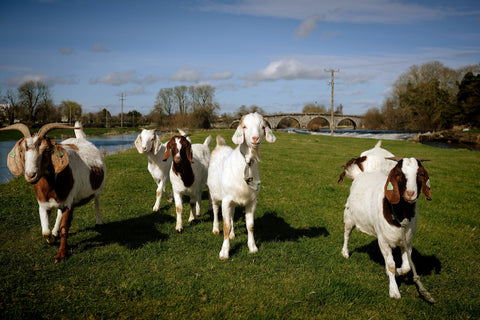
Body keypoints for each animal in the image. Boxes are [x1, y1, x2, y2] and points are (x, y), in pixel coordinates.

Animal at [0, 122, 105, 262]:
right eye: (21, 151)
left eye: (47, 150)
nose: (31, 175)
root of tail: (81, 139)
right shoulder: (43, 205)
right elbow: (45, 231)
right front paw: (51, 238)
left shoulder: (68, 203)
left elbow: (65, 228)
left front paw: (61, 254)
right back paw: (55, 231)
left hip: (98, 188)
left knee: (97, 202)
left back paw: (99, 222)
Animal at [207, 111, 278, 258]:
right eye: (244, 127)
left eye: (262, 127)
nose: (255, 138)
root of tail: (220, 145)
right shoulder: (226, 200)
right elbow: (226, 226)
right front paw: (224, 252)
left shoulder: (251, 201)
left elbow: (250, 225)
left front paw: (252, 247)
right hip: (214, 194)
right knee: (216, 210)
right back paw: (215, 229)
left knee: (232, 216)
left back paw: (233, 234)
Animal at [340, 158, 434, 300]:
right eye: (398, 174)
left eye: (421, 174)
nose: (410, 193)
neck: (401, 215)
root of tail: (359, 175)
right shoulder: (384, 242)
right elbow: (391, 266)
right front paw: (394, 291)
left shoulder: (407, 242)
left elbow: (407, 266)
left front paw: (399, 272)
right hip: (349, 217)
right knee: (347, 234)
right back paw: (345, 252)